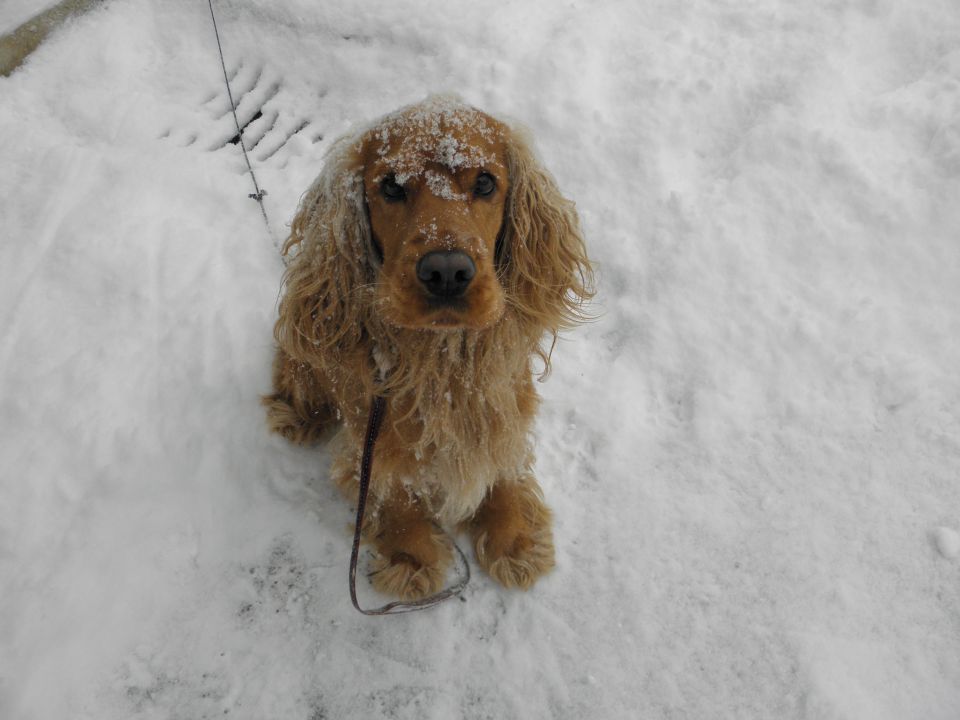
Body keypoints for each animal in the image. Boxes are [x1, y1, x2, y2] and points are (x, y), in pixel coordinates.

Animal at [262, 97, 592, 600]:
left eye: (485, 182)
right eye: (391, 186)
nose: (447, 272)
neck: (445, 363)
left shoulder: (502, 405)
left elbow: (503, 467)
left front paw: (514, 538)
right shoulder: (375, 430)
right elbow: (394, 489)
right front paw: (410, 556)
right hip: (306, 360)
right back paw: (296, 416)